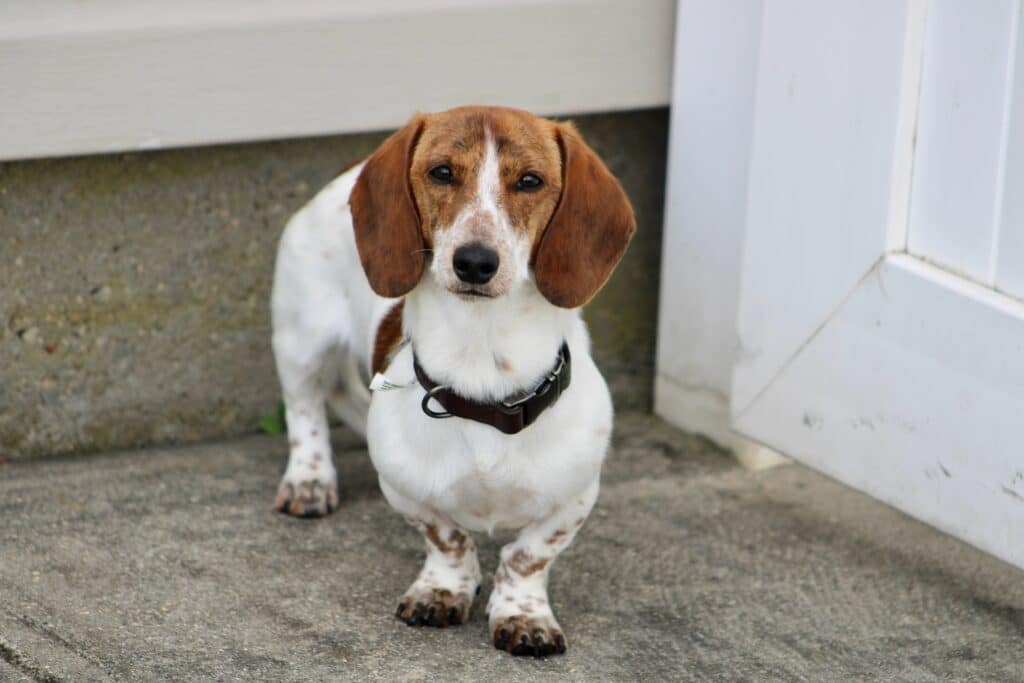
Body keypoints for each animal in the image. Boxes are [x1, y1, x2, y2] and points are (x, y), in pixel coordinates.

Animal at [270, 104, 638, 655]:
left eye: (530, 181)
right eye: (442, 172)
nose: (475, 261)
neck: (483, 371)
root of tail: (351, 167)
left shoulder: (574, 498)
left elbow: (528, 555)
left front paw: (523, 614)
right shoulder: (405, 490)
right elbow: (447, 540)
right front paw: (441, 590)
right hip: (300, 341)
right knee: (305, 410)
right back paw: (310, 480)